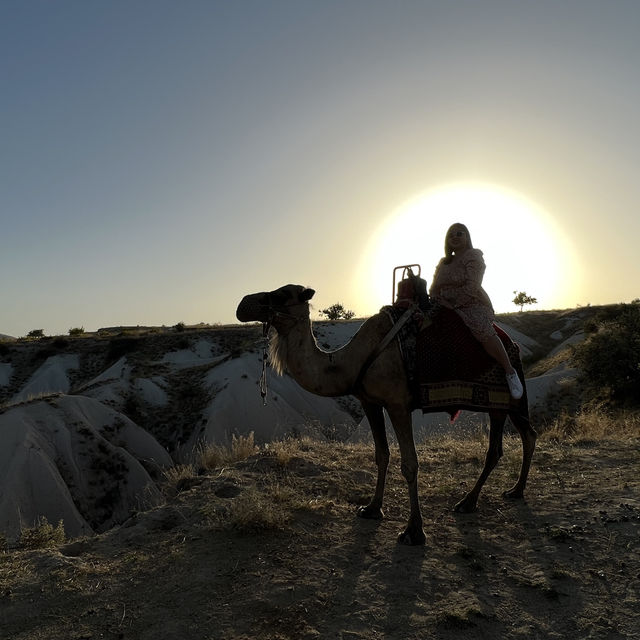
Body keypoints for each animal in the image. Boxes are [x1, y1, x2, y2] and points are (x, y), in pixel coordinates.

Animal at [235, 284, 536, 544]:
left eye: (281, 294)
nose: (243, 304)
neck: (349, 361)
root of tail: (510, 342)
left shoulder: (397, 403)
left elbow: (410, 463)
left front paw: (414, 531)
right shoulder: (370, 401)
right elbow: (382, 455)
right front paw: (371, 508)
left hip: (505, 399)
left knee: (505, 444)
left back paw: (471, 501)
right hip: (505, 405)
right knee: (522, 437)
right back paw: (510, 492)